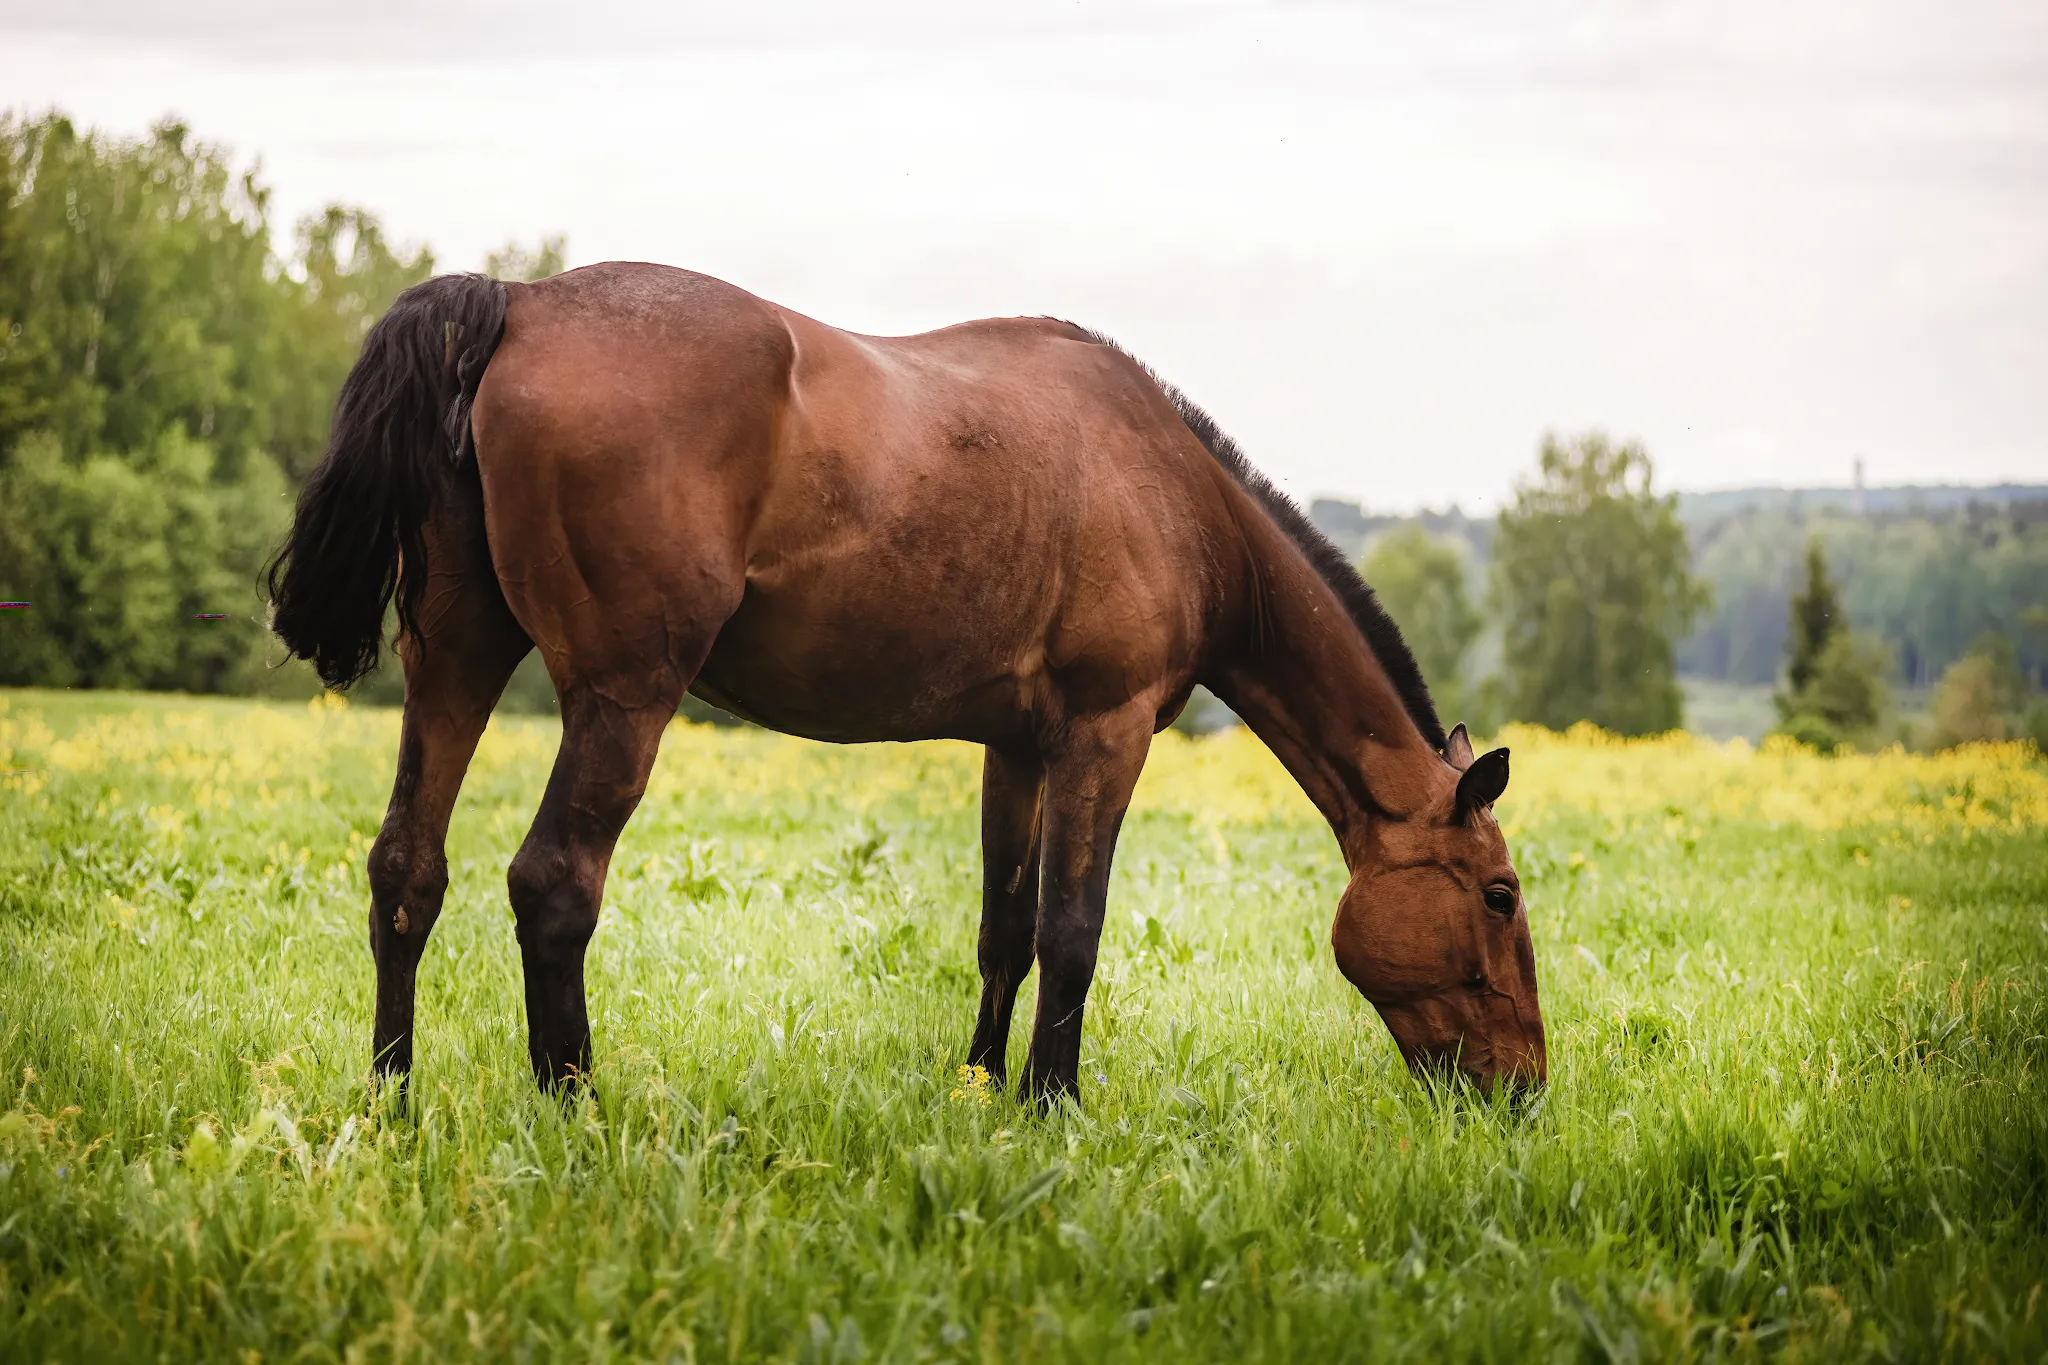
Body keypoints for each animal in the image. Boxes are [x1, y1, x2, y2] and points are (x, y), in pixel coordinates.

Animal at [264, 261, 1540, 1105]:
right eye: (1498, 896)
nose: (1521, 1089)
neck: (1176, 495)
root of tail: (517, 303)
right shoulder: (1105, 733)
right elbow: (1073, 929)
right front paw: (1050, 1103)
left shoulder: (1016, 748)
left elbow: (1005, 931)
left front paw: (980, 1089)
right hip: (623, 698)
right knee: (552, 886)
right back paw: (571, 1105)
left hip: (453, 662)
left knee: (407, 870)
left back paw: (392, 1103)